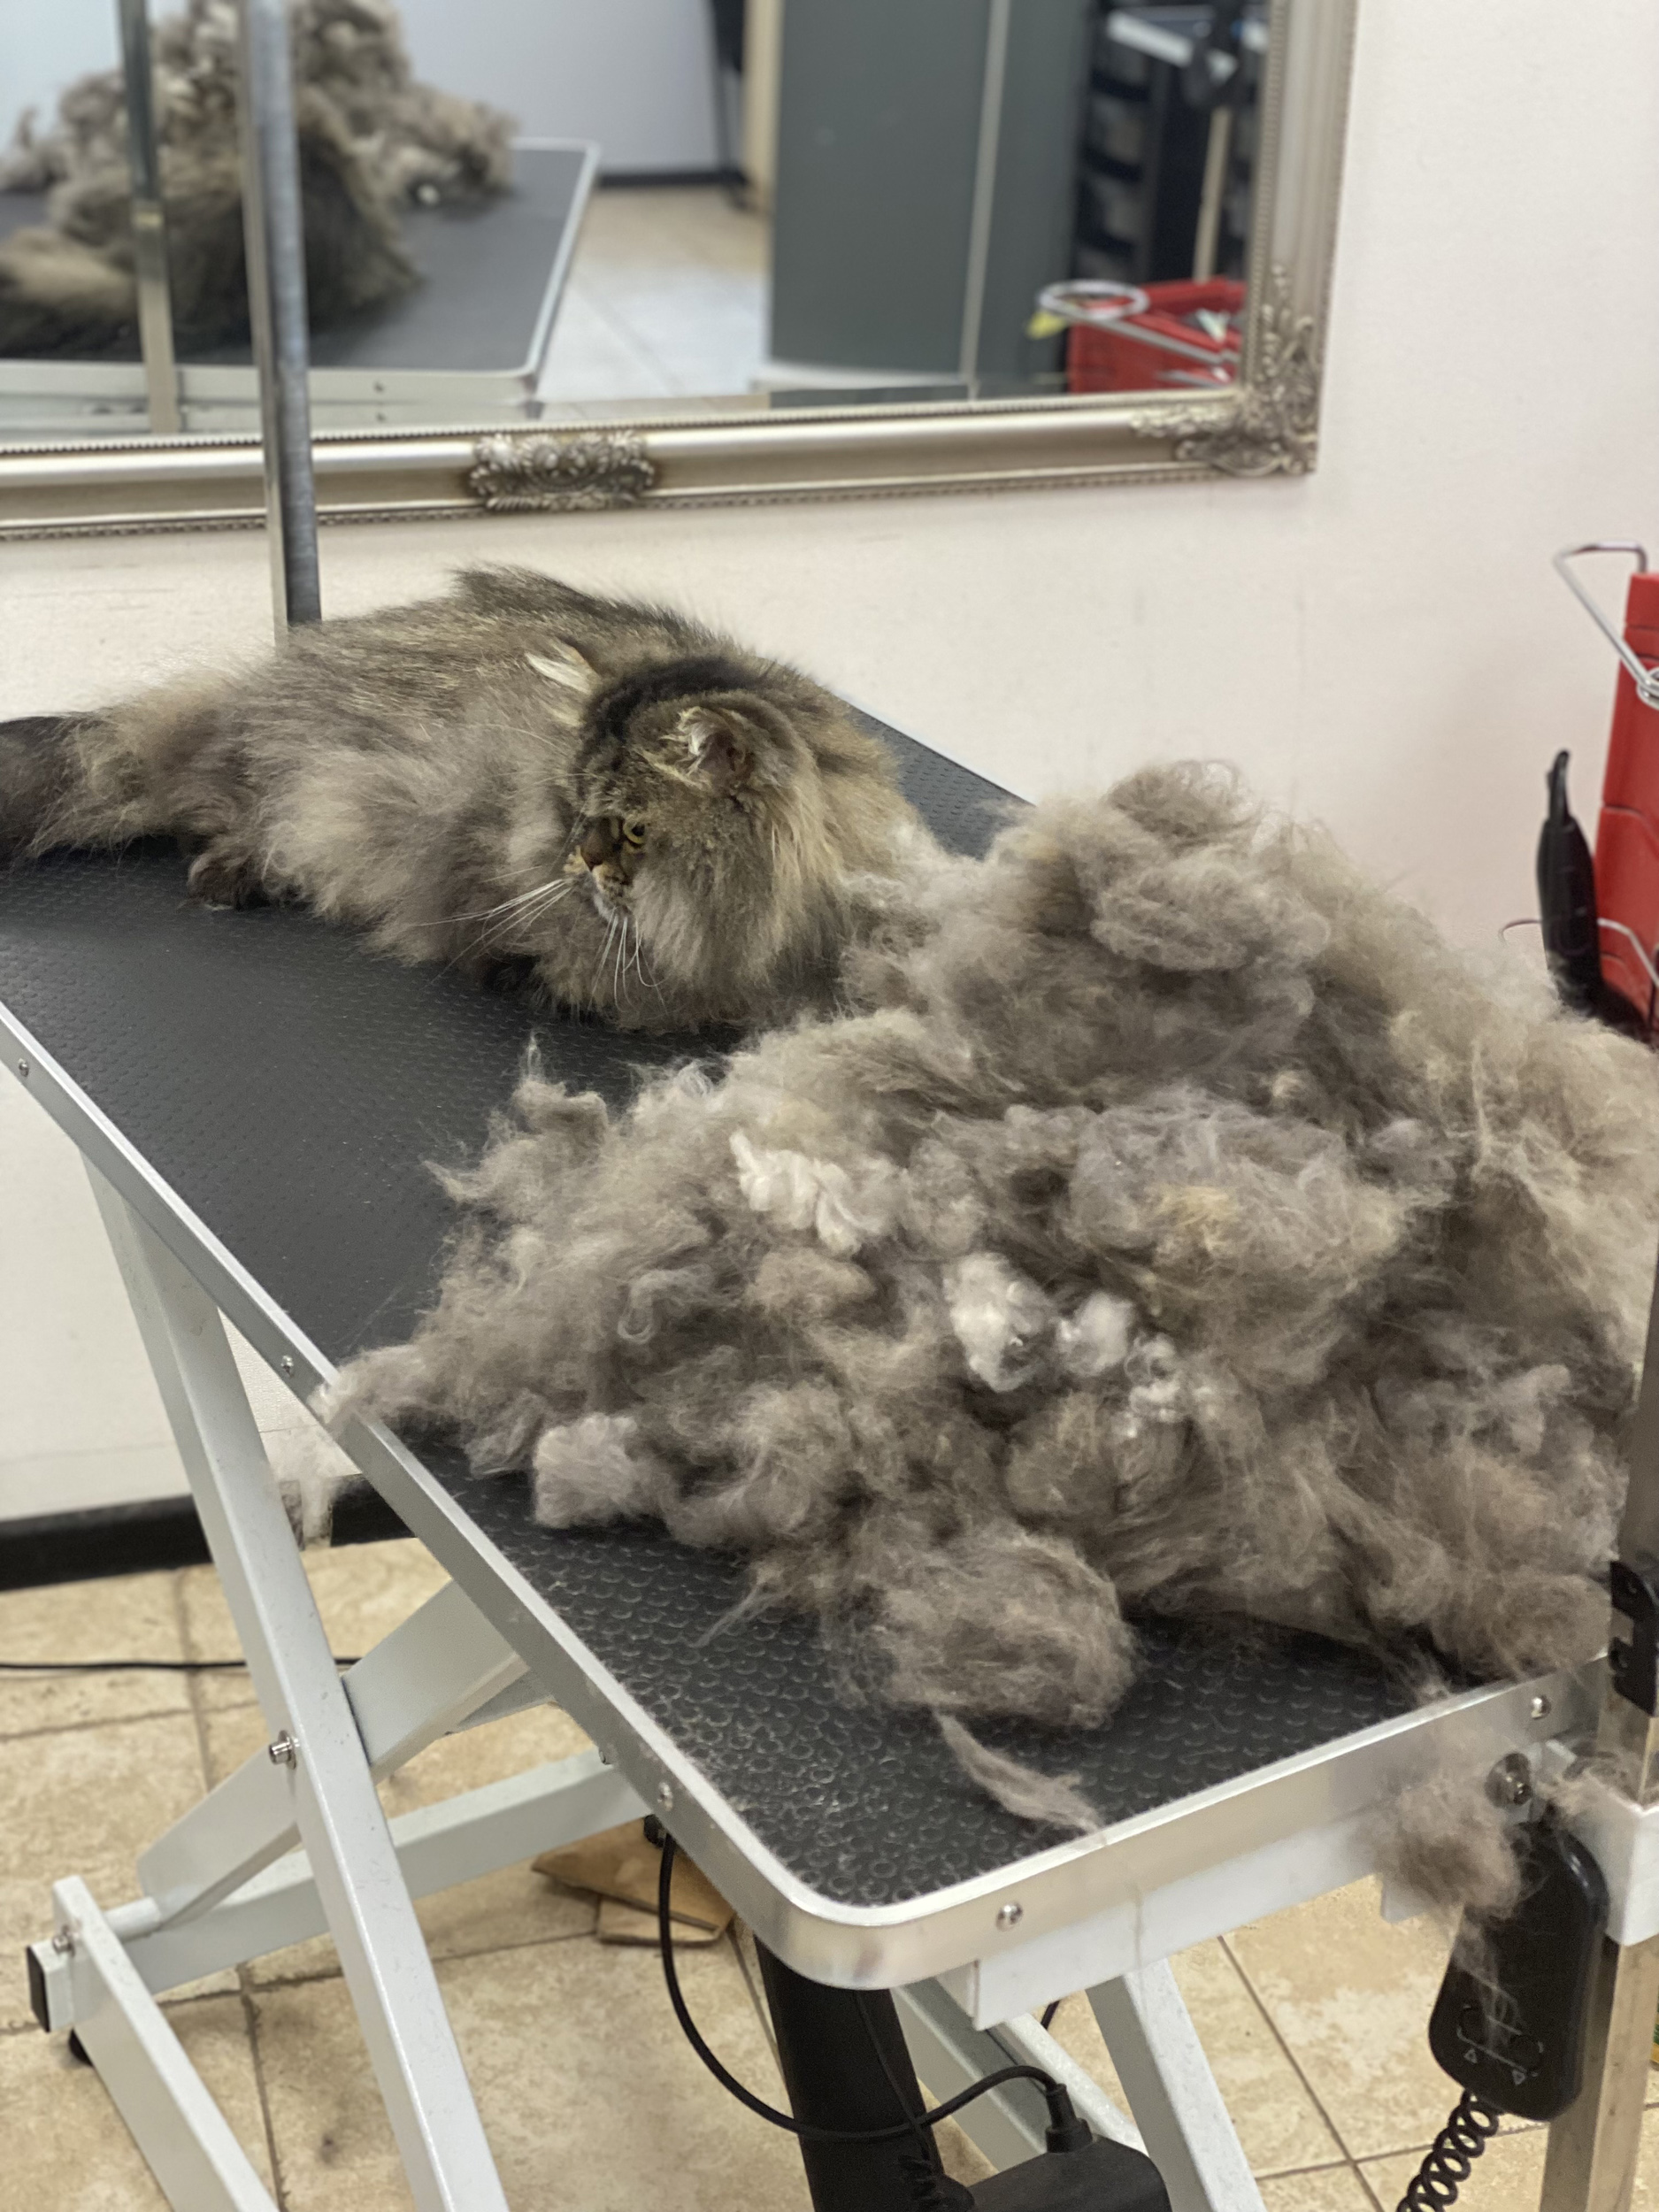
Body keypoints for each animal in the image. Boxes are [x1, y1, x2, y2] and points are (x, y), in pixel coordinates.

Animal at [0, 568, 925, 1031]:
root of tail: (259, 684)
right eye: (575, 808)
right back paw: (229, 876)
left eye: (630, 830)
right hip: (308, 791)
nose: (575, 858)